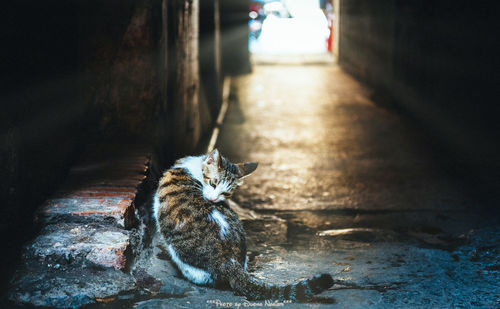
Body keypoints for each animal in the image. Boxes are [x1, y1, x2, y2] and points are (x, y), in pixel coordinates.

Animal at [151, 148, 332, 300]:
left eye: (226, 192)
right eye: (213, 183)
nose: (214, 199)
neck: (193, 168)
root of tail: (229, 261)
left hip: (181, 252)